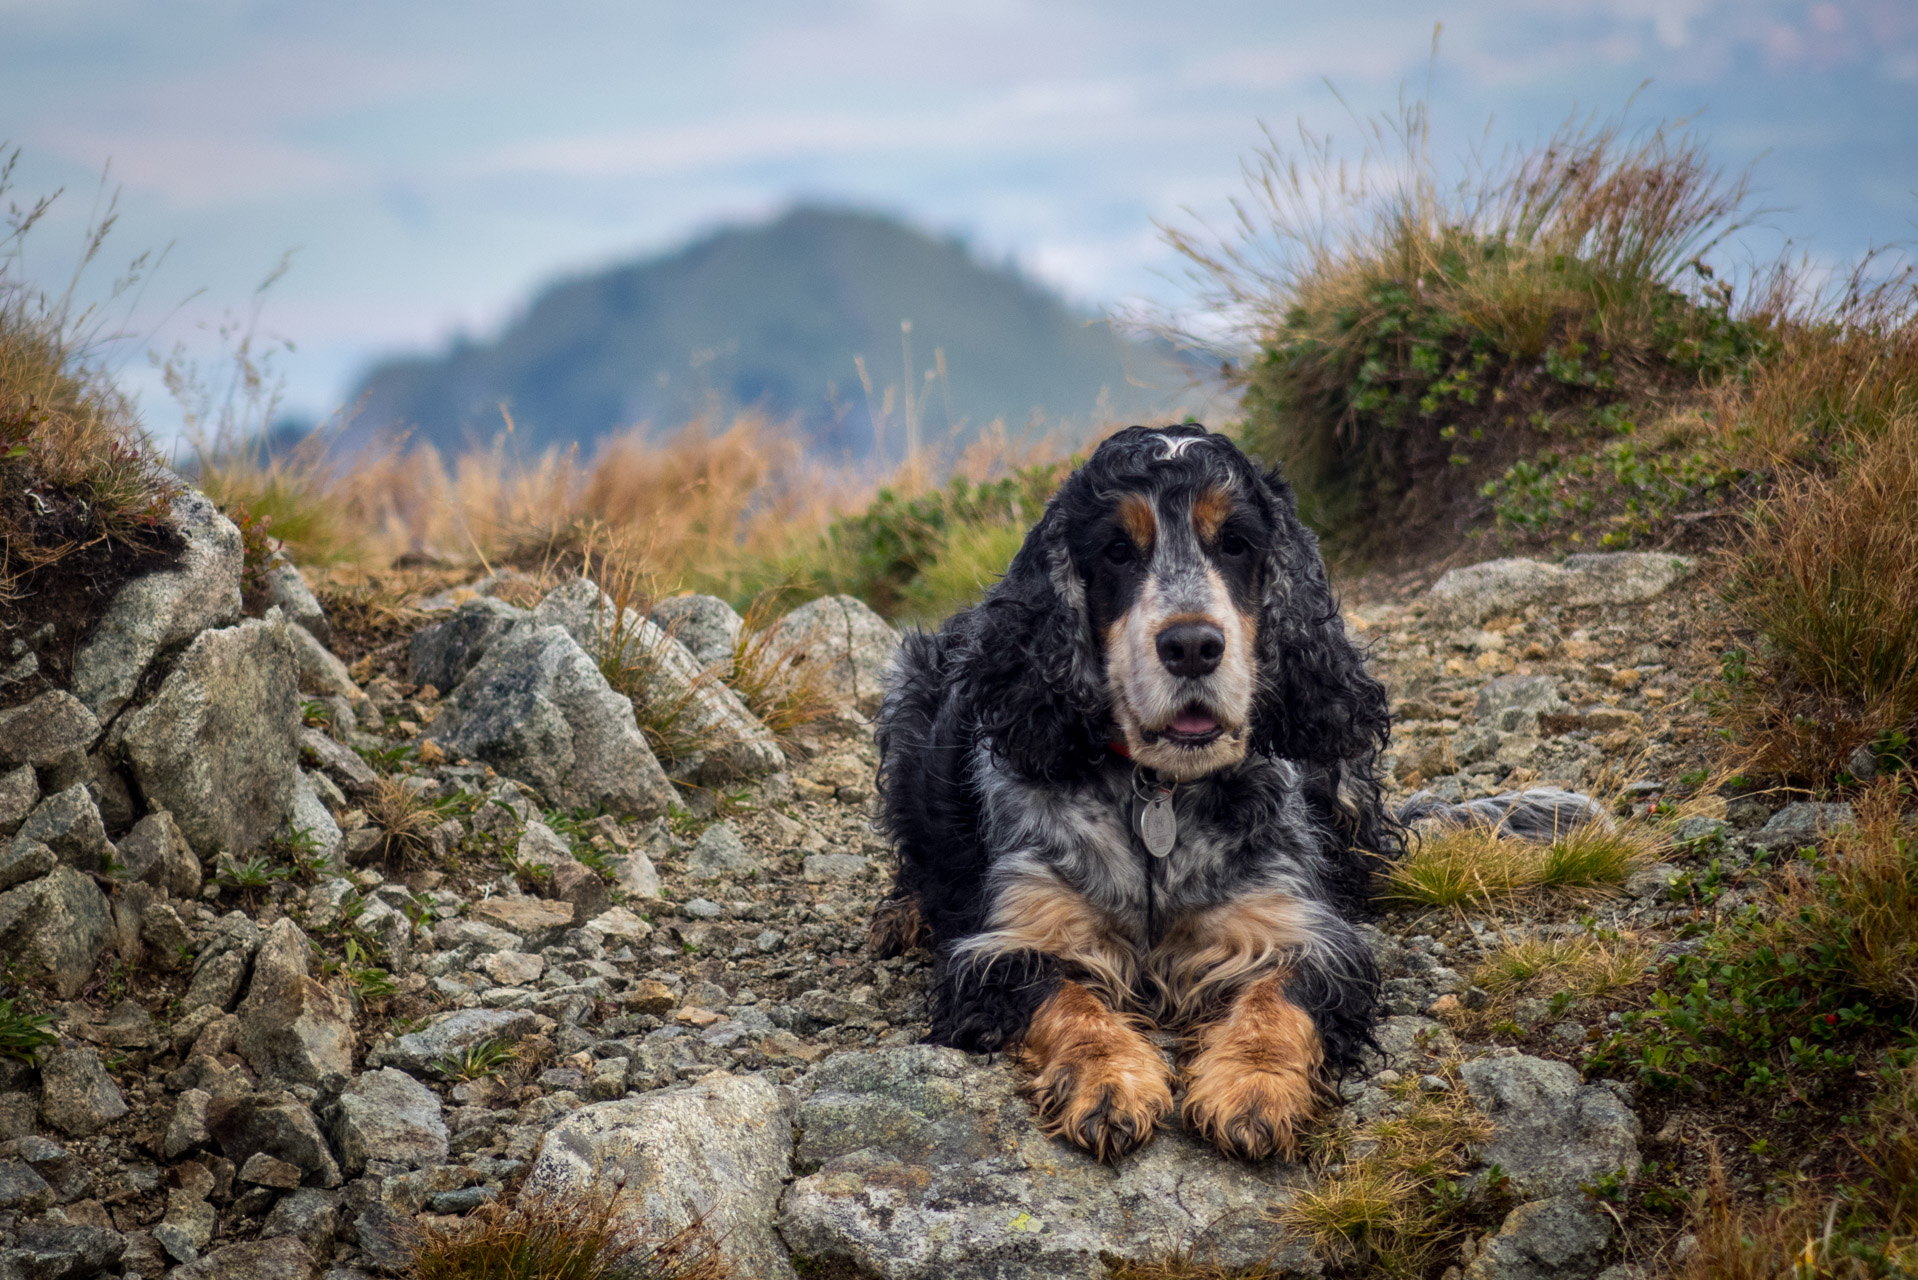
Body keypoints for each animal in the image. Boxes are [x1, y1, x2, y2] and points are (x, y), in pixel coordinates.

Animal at [870, 420, 1396, 1159]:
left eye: (1235, 543)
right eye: (1117, 550)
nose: (1193, 646)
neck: (1159, 792)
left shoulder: (1297, 927)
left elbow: (1279, 997)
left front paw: (1253, 1087)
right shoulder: (1010, 939)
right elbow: (1067, 999)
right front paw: (1107, 1082)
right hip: (905, 693)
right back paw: (903, 913)